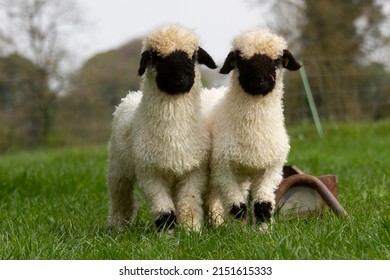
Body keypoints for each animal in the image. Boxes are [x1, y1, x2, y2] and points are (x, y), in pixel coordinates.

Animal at [107, 24, 216, 231]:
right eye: (156, 57)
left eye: (193, 56)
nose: (180, 79)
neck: (173, 132)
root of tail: (130, 96)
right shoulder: (150, 173)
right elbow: (164, 210)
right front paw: (167, 233)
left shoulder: (193, 170)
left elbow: (189, 204)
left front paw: (191, 230)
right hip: (119, 167)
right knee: (120, 199)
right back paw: (117, 228)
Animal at [204, 29, 302, 230]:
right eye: (240, 60)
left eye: (277, 60)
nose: (258, 82)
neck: (253, 130)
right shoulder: (223, 168)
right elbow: (237, 206)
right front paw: (238, 232)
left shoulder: (271, 169)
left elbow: (262, 205)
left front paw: (263, 231)